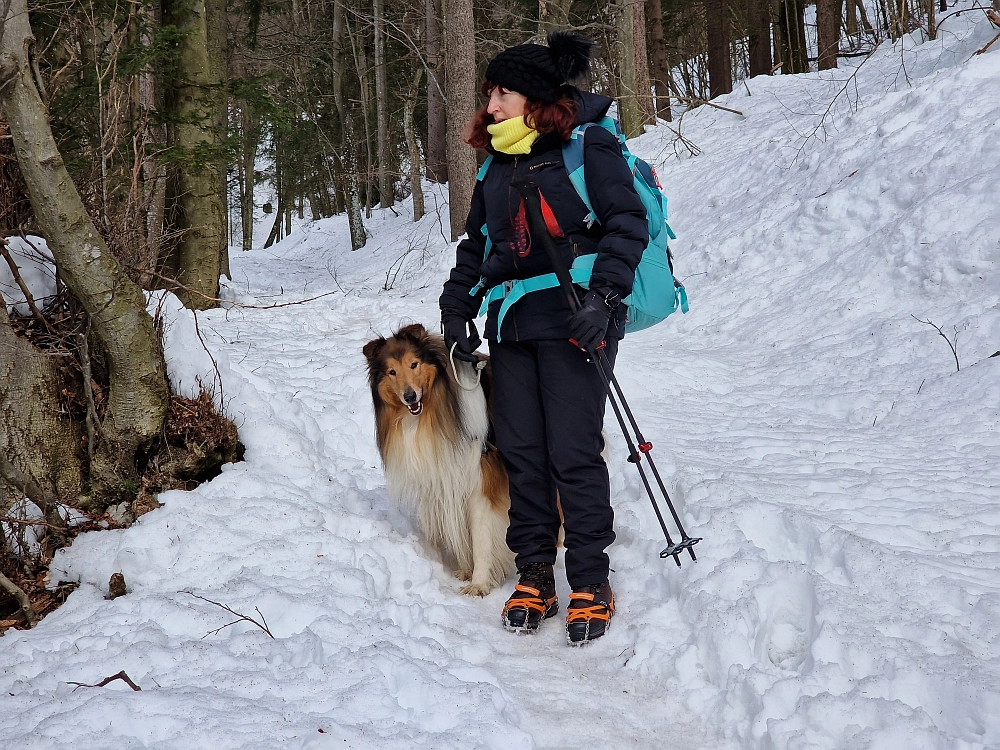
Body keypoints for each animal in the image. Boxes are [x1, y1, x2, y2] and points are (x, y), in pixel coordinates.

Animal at [364, 326, 512, 596]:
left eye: (414, 364)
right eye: (392, 371)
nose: (410, 396)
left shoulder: (480, 482)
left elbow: (481, 536)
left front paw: (479, 583)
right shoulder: (443, 477)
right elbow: (459, 529)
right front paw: (466, 570)